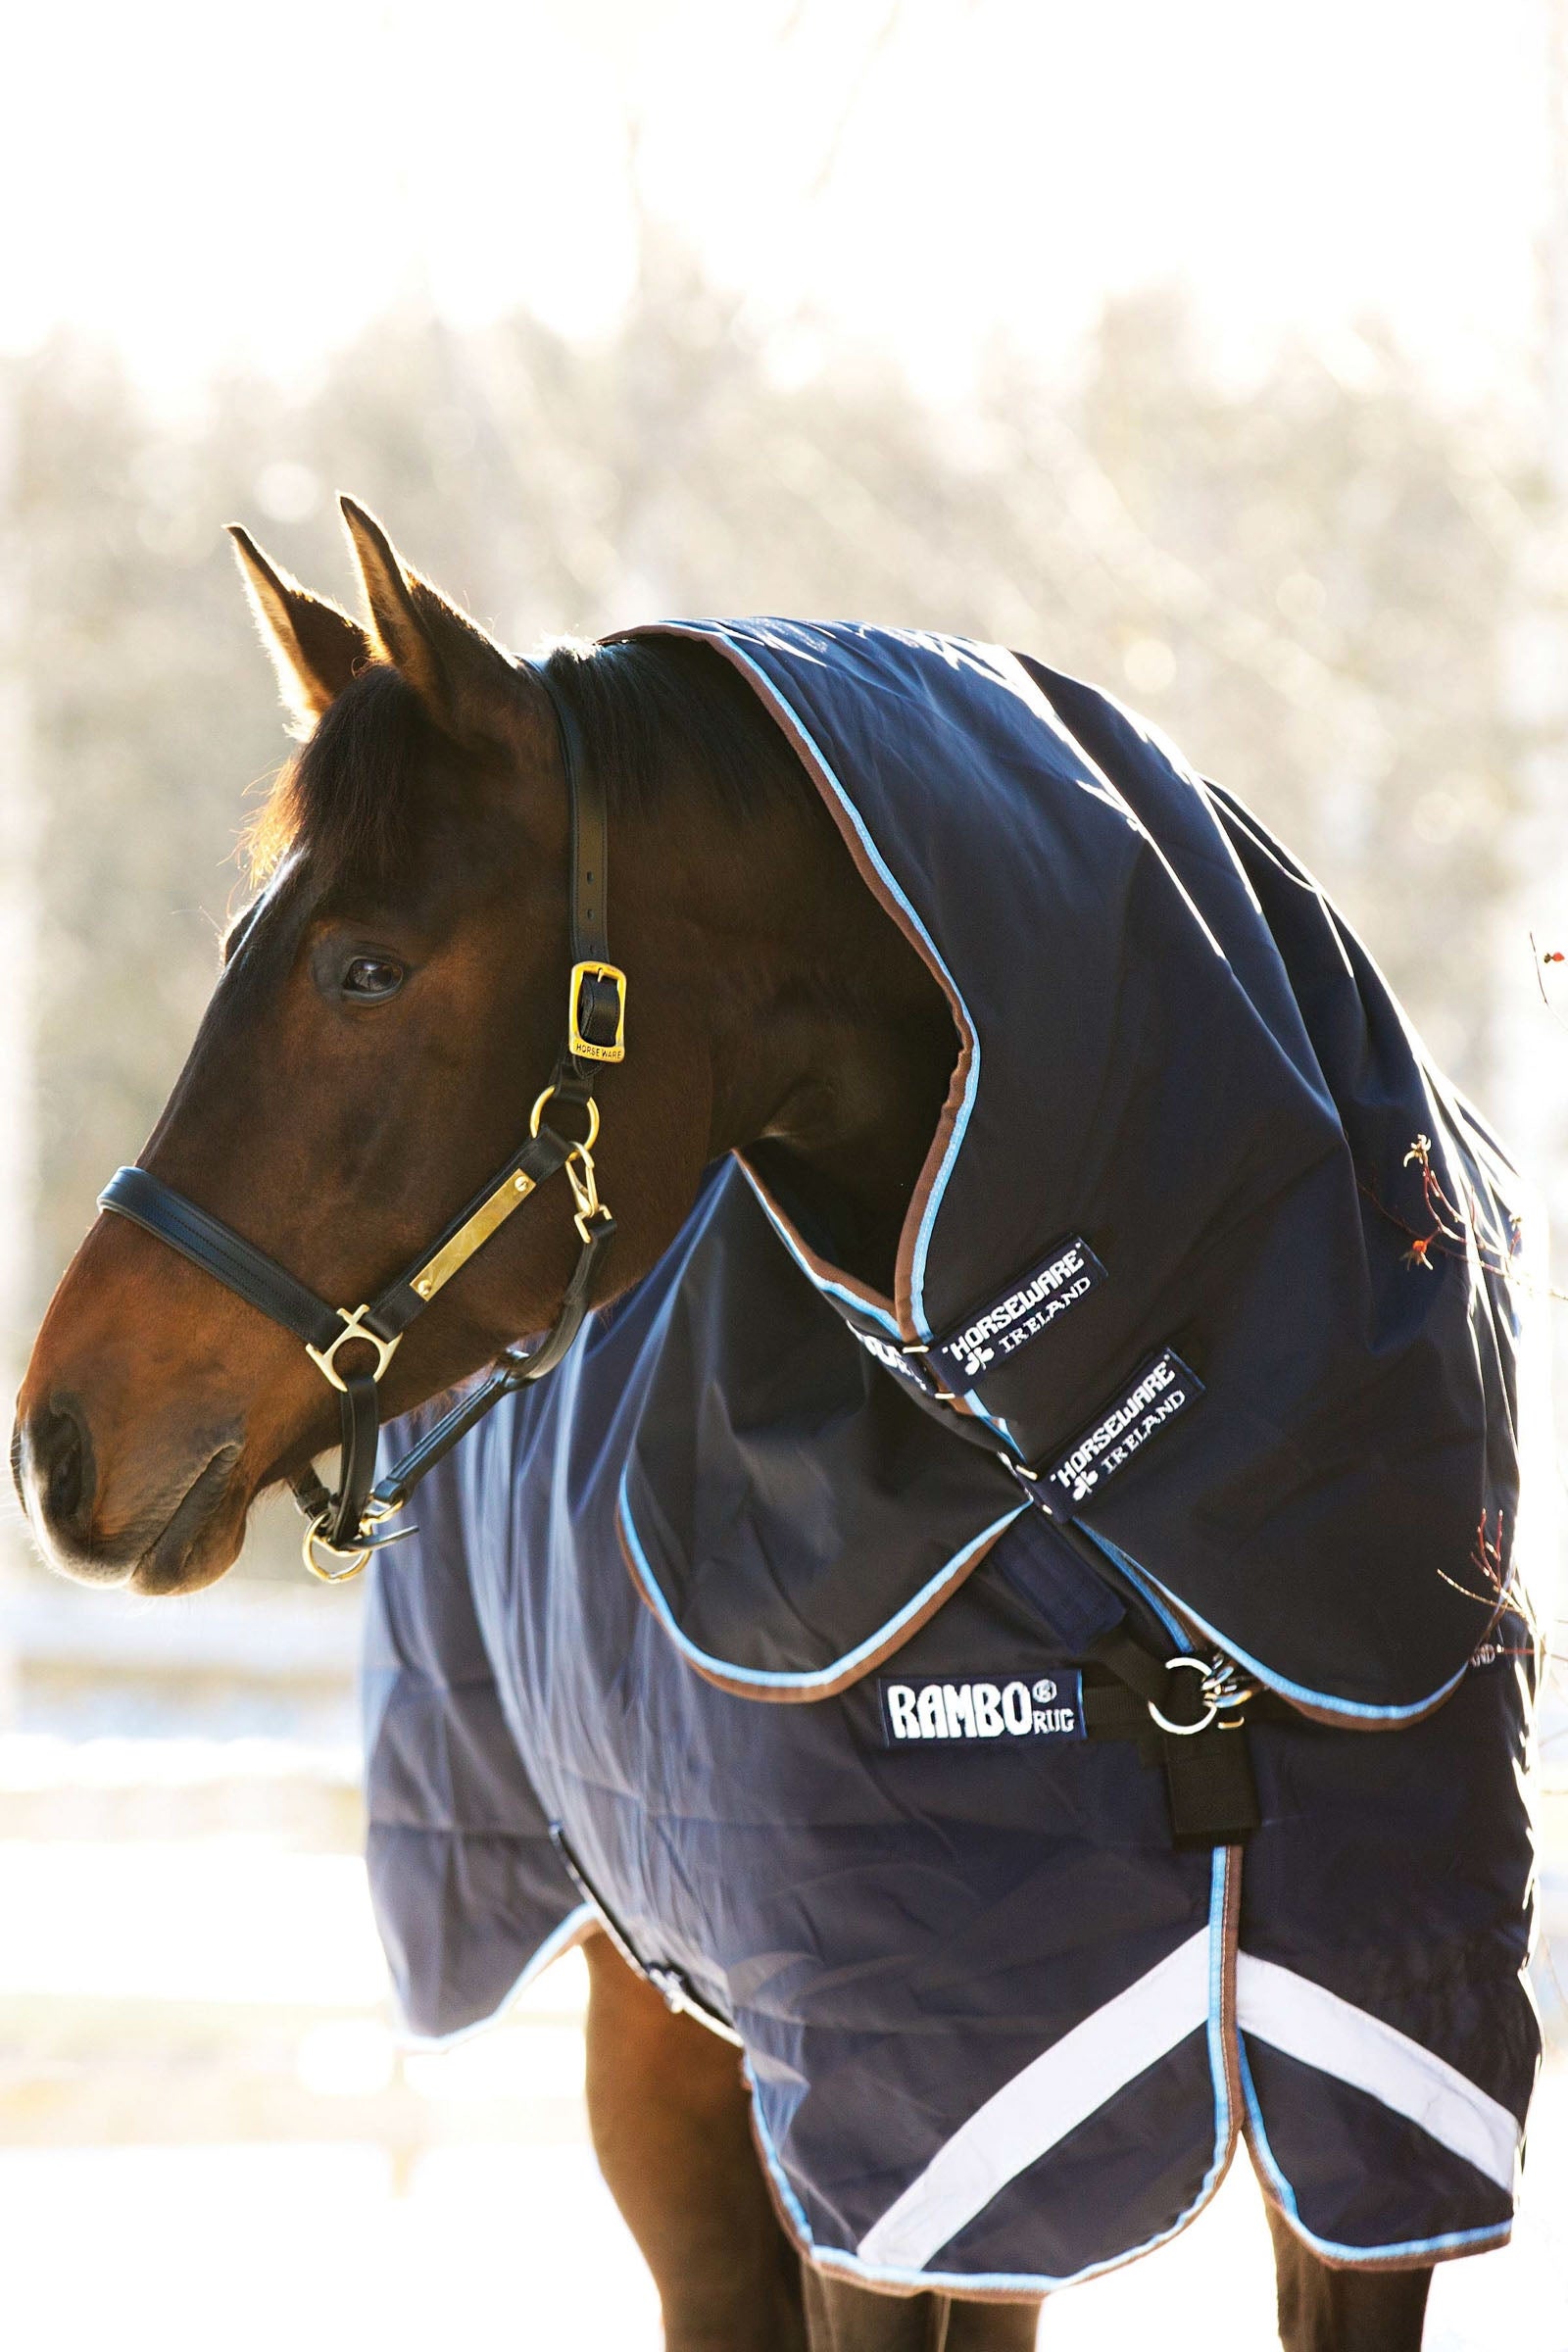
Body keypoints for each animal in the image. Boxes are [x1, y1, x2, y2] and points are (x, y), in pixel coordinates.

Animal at [16, 496, 1527, 2351]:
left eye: (363, 967)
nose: (60, 1435)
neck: (1101, 1489)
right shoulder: (895, 2137)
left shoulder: (1379, 2115)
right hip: (664, 2060)